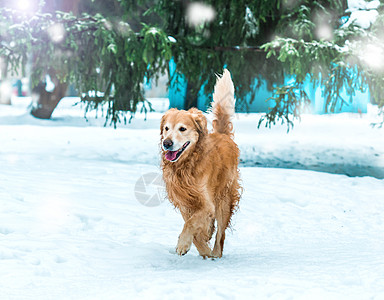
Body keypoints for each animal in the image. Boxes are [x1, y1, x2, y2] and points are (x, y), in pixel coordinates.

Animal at [160, 68, 242, 258]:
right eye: (166, 128)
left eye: (182, 128)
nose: (166, 143)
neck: (186, 165)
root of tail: (223, 135)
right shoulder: (184, 202)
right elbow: (194, 229)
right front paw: (200, 247)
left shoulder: (207, 203)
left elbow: (191, 223)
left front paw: (184, 244)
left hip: (224, 199)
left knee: (221, 235)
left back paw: (215, 254)